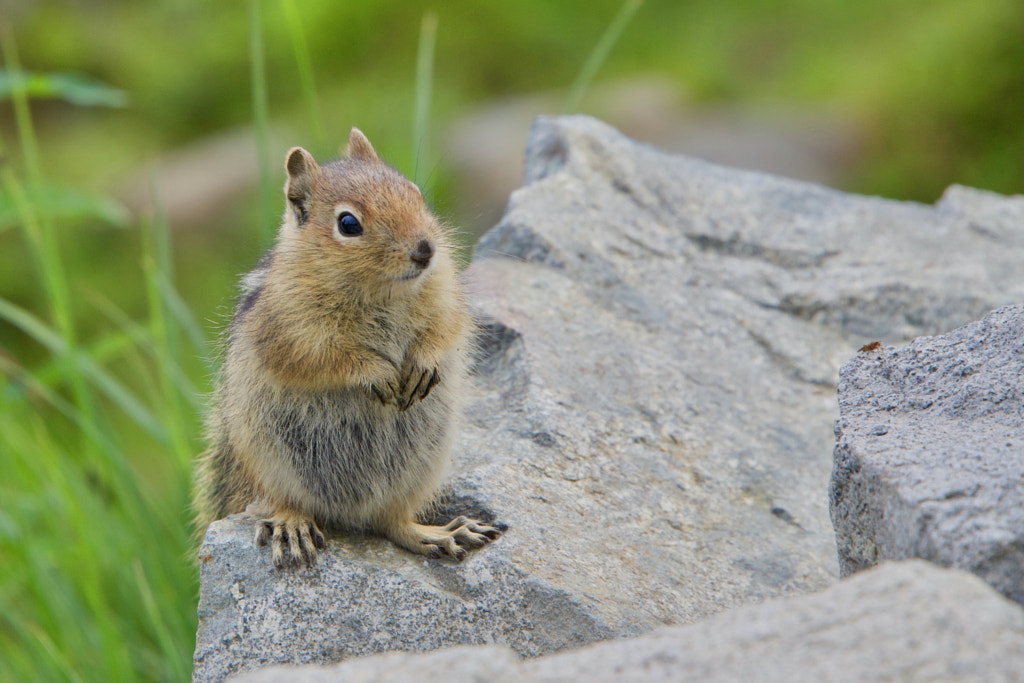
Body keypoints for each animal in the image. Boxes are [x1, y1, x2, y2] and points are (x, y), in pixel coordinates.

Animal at [192, 131, 503, 569]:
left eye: (415, 193)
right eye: (348, 224)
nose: (425, 250)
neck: (383, 291)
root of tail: (350, 515)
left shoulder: (445, 296)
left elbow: (445, 330)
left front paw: (423, 363)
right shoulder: (293, 331)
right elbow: (325, 358)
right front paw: (376, 373)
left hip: (419, 467)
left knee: (391, 522)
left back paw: (440, 534)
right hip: (268, 461)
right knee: (280, 501)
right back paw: (292, 526)